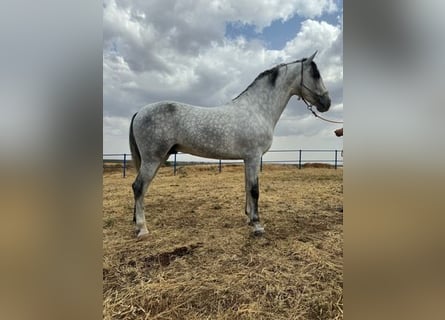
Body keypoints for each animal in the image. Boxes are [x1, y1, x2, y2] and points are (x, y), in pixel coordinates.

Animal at [128, 51, 330, 239]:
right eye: (316, 74)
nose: (327, 103)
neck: (257, 109)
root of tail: (139, 112)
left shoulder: (248, 159)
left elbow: (247, 187)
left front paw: (249, 218)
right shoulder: (254, 157)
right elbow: (254, 190)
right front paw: (257, 225)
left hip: (159, 158)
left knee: (141, 189)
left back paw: (137, 223)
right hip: (152, 159)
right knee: (138, 187)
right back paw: (143, 229)